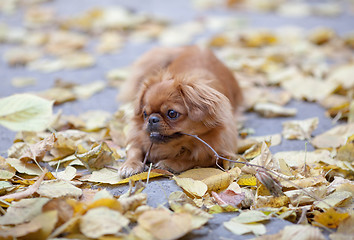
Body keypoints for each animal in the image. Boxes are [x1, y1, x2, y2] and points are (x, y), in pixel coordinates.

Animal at [117, 45, 242, 178]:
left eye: (172, 113)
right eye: (145, 114)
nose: (152, 119)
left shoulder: (218, 154)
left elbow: (193, 159)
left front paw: (169, 163)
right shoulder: (137, 138)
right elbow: (134, 150)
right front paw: (130, 165)